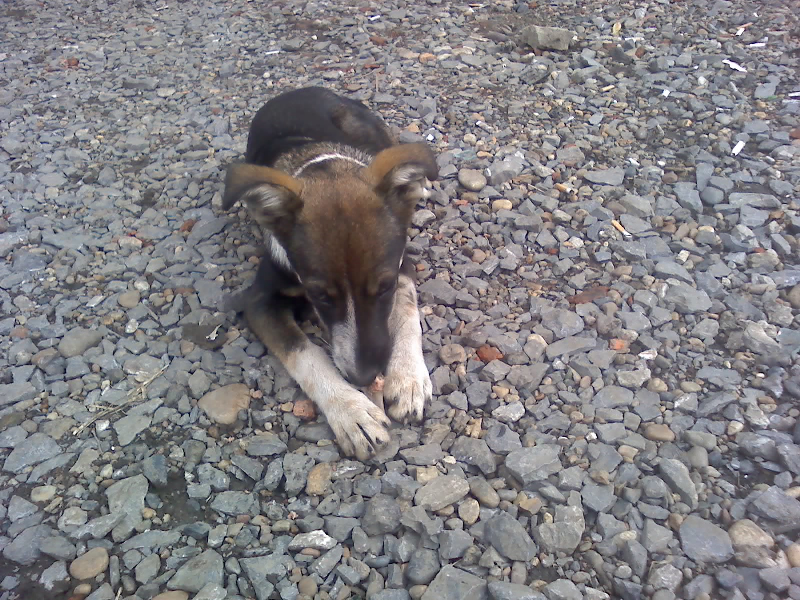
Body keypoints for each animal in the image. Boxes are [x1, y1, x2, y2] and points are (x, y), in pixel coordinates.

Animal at [222, 87, 438, 460]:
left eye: (385, 287)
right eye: (320, 296)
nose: (365, 376)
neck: (323, 163)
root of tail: (301, 90)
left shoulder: (402, 267)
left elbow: (408, 312)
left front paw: (408, 379)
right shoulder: (260, 301)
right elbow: (304, 353)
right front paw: (351, 412)